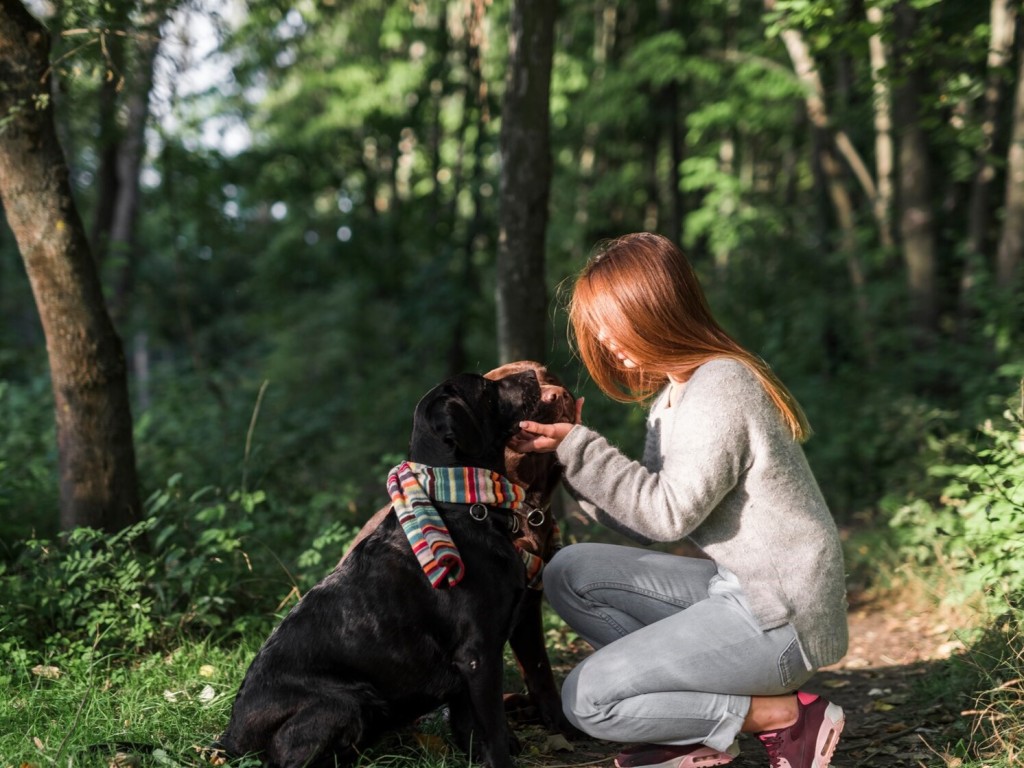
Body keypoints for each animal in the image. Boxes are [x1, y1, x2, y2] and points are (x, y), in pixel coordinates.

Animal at [219, 370, 565, 765]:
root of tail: (231, 739)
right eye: (486, 389)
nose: (533, 374)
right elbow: (492, 731)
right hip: (343, 703)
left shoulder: (466, 671)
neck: (461, 504)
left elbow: (470, 731)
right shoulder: (478, 655)